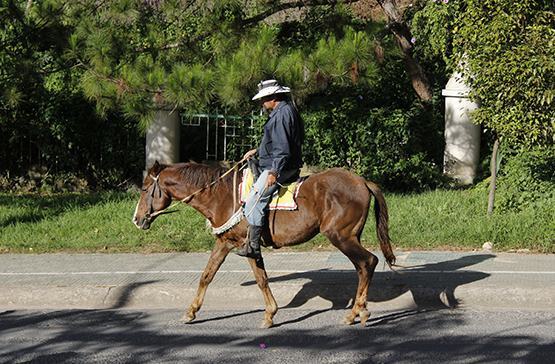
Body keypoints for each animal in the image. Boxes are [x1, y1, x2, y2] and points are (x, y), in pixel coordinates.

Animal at [133, 161, 398, 328]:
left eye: (145, 188)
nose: (136, 219)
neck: (221, 196)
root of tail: (362, 182)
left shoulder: (246, 244)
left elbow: (261, 279)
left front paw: (269, 314)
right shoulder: (224, 242)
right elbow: (207, 275)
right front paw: (190, 311)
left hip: (340, 236)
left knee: (368, 262)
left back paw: (356, 312)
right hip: (350, 237)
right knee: (363, 267)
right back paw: (358, 311)